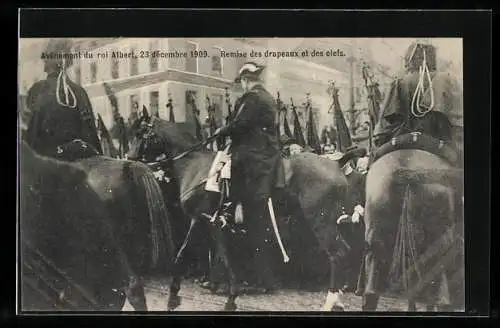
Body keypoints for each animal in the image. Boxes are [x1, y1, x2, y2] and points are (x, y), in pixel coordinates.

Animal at [127, 114, 366, 312]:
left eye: (141, 134)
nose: (129, 158)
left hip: (321, 221)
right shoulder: (208, 221)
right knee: (343, 252)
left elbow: (199, 254)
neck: (195, 166)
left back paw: (330, 301)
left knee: (337, 254)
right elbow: (212, 253)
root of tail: (337, 163)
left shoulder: (203, 219)